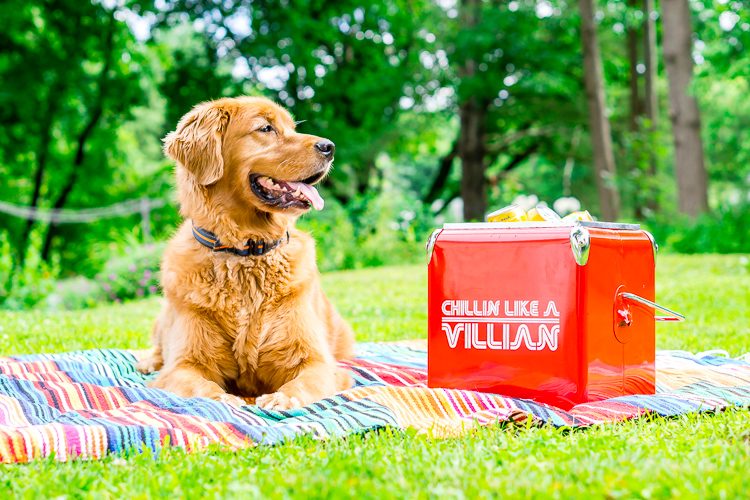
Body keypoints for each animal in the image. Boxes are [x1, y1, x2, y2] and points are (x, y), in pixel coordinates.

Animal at [134, 95, 356, 408]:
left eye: (292, 127)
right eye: (265, 128)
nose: (329, 147)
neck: (245, 252)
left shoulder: (317, 361)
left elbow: (304, 382)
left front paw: (282, 398)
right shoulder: (183, 364)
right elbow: (198, 384)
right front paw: (224, 399)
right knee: (158, 345)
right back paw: (148, 361)